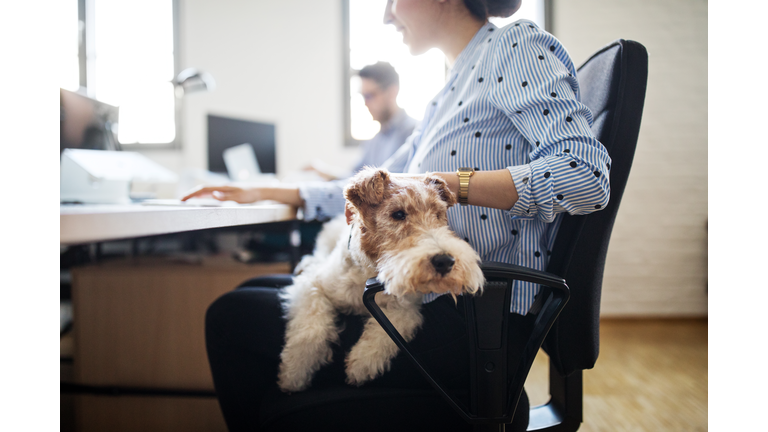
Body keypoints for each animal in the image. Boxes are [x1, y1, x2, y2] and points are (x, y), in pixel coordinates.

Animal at [276, 167, 484, 394]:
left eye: (438, 214)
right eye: (398, 214)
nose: (445, 261)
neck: (370, 271)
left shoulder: (405, 309)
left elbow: (387, 332)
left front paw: (361, 364)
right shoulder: (312, 286)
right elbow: (310, 331)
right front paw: (294, 374)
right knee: (317, 255)